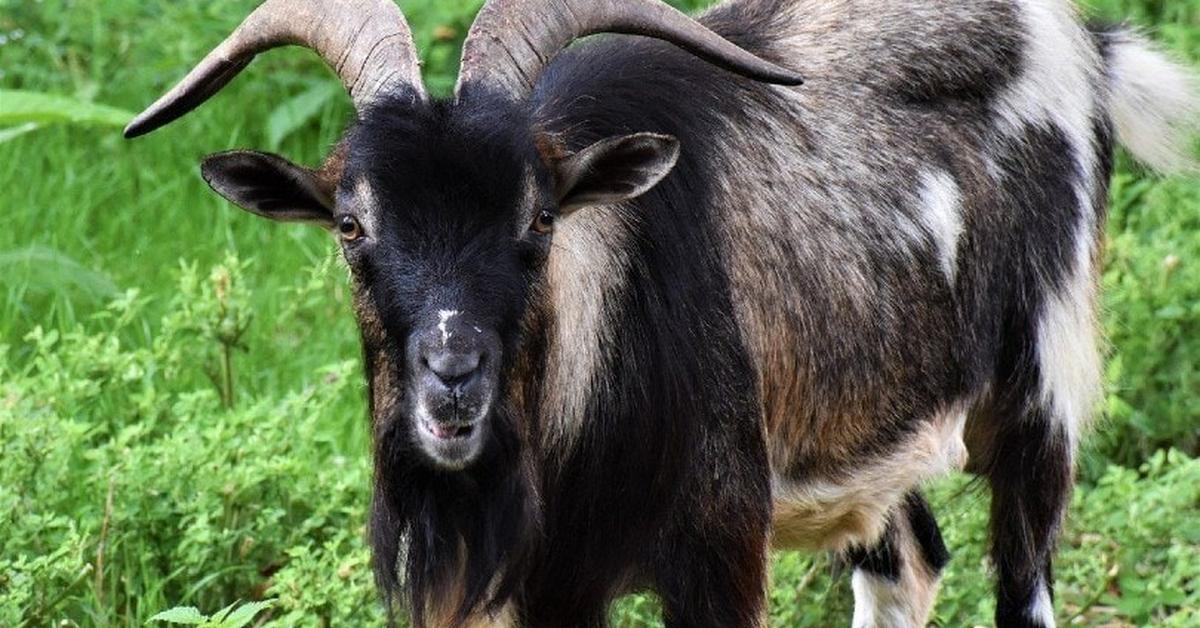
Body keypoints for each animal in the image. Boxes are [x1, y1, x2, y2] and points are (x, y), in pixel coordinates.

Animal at [126, 1, 1195, 628]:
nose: (453, 381)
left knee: (1022, 576)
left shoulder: (718, 551)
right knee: (907, 564)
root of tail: (1082, 43)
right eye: (351, 224)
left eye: (540, 218)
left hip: (1041, 382)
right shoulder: (518, 589)